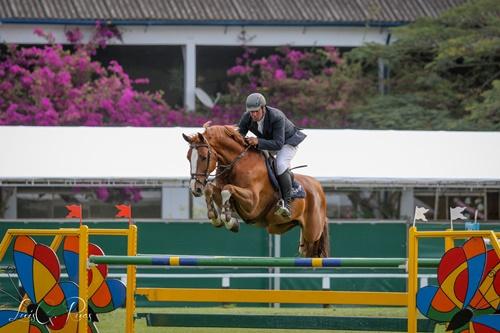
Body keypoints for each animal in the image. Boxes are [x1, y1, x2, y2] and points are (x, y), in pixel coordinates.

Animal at [182, 124, 330, 256]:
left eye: (203, 157)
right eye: (188, 158)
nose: (195, 188)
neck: (238, 163)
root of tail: (319, 188)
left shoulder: (253, 203)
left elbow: (227, 189)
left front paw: (228, 219)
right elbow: (210, 189)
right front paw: (218, 218)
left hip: (313, 231)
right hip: (278, 227)